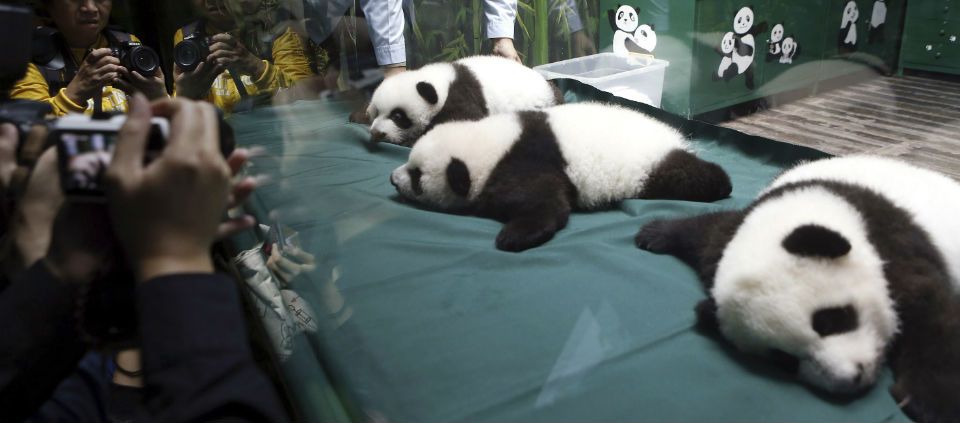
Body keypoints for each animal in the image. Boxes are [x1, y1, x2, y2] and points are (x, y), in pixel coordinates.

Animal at [390, 102, 733, 252]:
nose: (393, 179)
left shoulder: (525, 161)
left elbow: (545, 204)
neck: (487, 145)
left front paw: (513, 236)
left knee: (684, 176)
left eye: (417, 176)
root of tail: (676, 136)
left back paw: (721, 182)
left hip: (649, 165)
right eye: (410, 164)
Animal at [635, 155, 960, 422]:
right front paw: (655, 233)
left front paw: (932, 402)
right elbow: (708, 232)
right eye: (784, 359)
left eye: (833, 319)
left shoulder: (890, 239)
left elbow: (931, 311)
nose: (850, 379)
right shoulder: (729, 238)